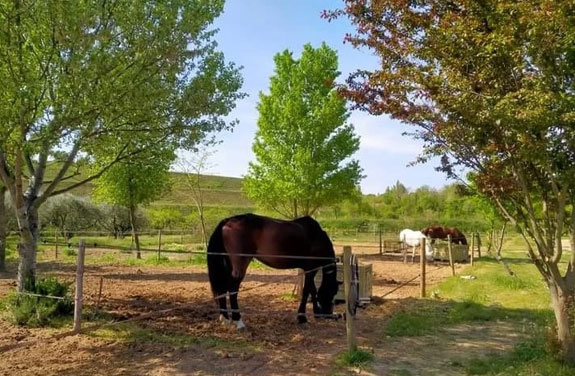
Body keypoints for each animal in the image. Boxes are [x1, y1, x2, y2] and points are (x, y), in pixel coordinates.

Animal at [209, 214, 340, 328]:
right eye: (332, 292)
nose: (328, 314)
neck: (317, 236)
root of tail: (229, 220)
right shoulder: (311, 269)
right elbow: (307, 291)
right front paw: (302, 317)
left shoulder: (308, 270)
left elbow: (312, 290)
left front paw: (315, 312)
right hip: (240, 267)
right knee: (232, 289)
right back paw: (238, 321)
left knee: (223, 287)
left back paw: (225, 319)